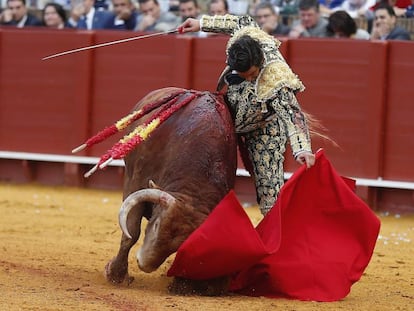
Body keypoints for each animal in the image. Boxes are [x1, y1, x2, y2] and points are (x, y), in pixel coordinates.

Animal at [102, 87, 238, 294]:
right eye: (157, 224)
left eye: (179, 247)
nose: (143, 264)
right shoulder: (137, 180)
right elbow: (131, 232)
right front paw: (116, 275)